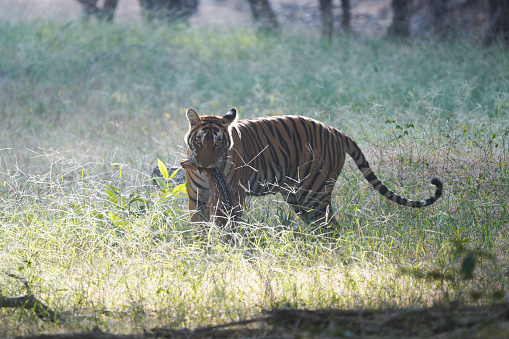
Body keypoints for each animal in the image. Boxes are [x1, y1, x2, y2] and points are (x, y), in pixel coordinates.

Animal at [182, 108, 440, 231]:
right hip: (298, 197)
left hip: (313, 193)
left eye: (218, 143)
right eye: (199, 141)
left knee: (332, 228)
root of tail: (336, 131)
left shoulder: (234, 195)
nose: (205, 165)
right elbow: (199, 227)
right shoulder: (197, 197)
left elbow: (228, 225)